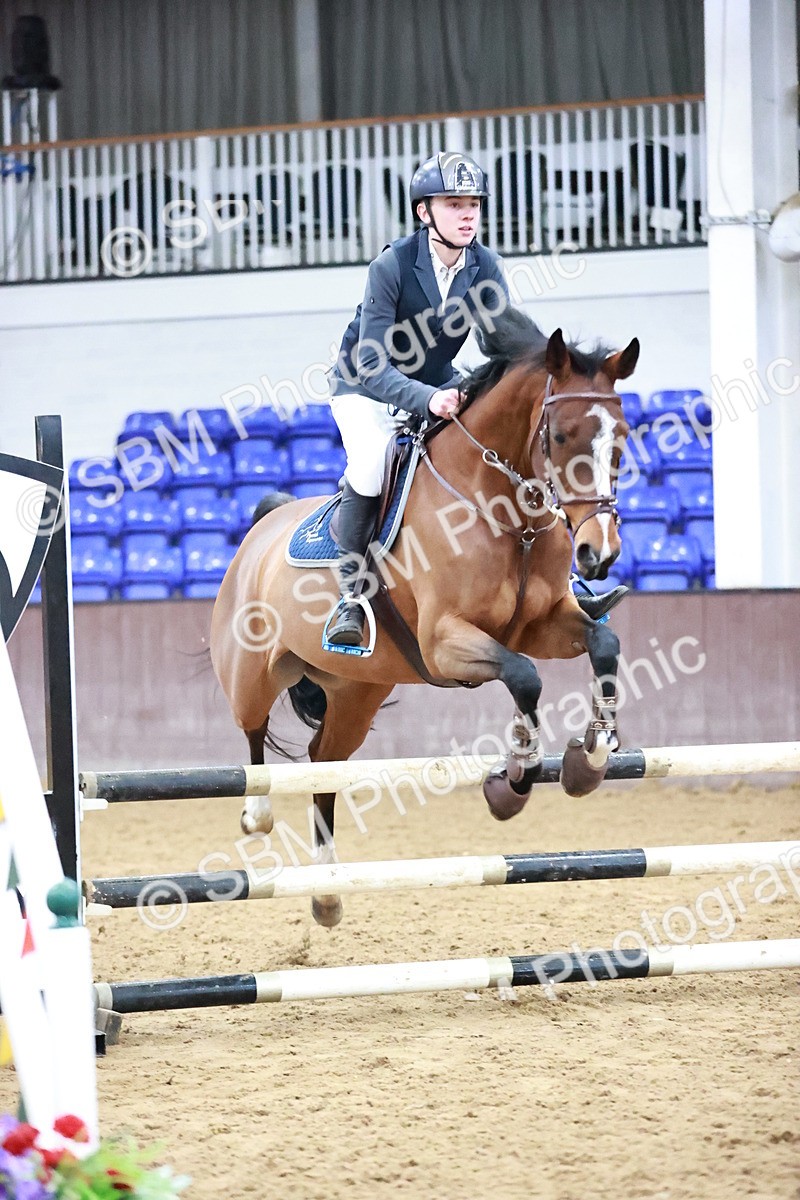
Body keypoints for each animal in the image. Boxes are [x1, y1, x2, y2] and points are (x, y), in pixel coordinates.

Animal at [210, 307, 638, 927]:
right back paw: (258, 817)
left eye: (621, 440)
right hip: (252, 673)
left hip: (356, 693)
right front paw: (514, 780)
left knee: (322, 764)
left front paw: (591, 759)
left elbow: (602, 645)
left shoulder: (542, 627)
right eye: (560, 437)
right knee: (253, 732)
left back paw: (327, 894)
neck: (508, 516)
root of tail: (260, 530)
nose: (597, 554)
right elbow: (525, 676)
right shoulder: (443, 642)